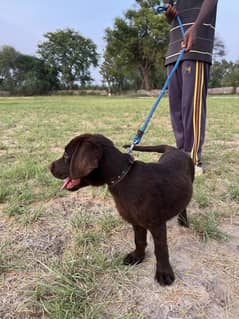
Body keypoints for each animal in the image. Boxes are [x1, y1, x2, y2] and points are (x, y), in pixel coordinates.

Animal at [49, 134, 194, 286]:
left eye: (66, 155)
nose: (49, 167)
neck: (123, 177)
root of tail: (175, 149)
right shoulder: (136, 222)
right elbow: (139, 240)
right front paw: (137, 257)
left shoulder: (157, 225)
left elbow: (161, 249)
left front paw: (164, 273)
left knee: (184, 205)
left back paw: (183, 221)